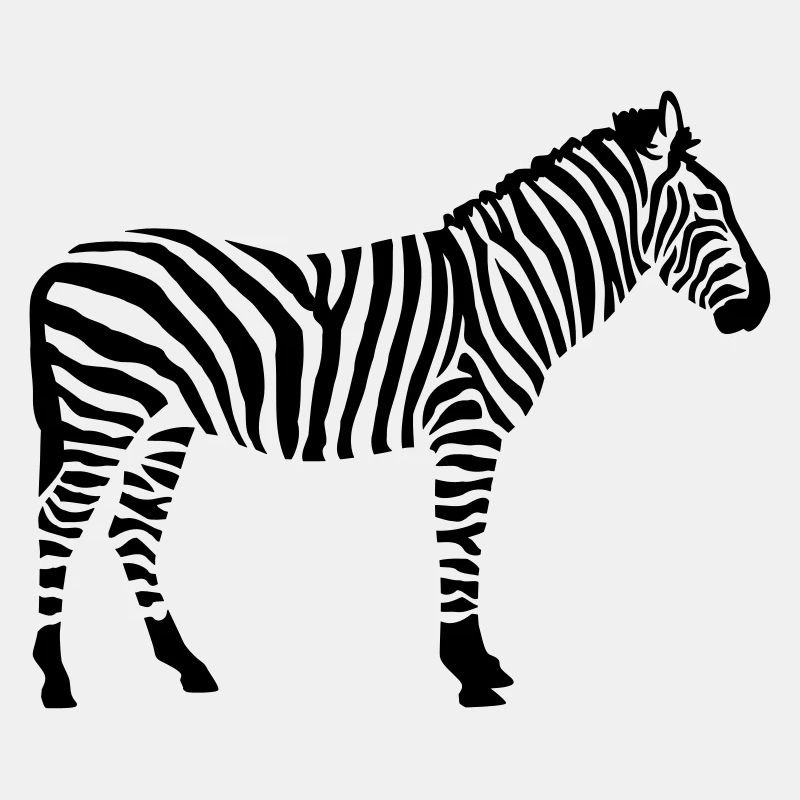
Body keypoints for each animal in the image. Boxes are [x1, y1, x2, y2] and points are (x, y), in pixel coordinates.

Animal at [30, 91, 769, 709]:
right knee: (60, 519)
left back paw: (185, 664)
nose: (760, 307)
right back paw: (55, 679)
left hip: (165, 420)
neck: (508, 287)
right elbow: (461, 543)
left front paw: (478, 664)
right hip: (103, 406)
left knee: (133, 526)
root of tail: (60, 263)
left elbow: (463, 543)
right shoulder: (468, 428)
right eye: (710, 208)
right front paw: (471, 672)